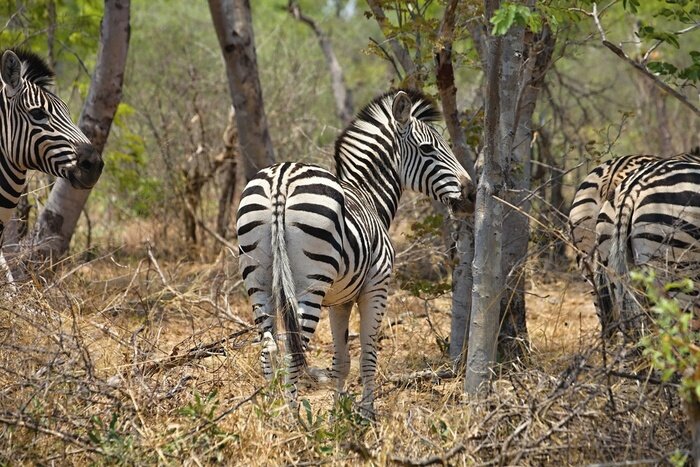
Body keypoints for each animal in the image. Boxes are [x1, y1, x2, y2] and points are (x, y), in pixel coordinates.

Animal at [236, 89, 474, 416]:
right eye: (428, 149)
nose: (471, 195)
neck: (369, 196)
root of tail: (281, 179)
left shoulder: (339, 300)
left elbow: (342, 361)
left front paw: (340, 413)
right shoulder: (376, 287)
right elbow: (367, 356)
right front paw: (366, 412)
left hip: (257, 280)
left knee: (267, 348)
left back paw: (271, 413)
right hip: (310, 285)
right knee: (293, 353)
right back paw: (293, 421)